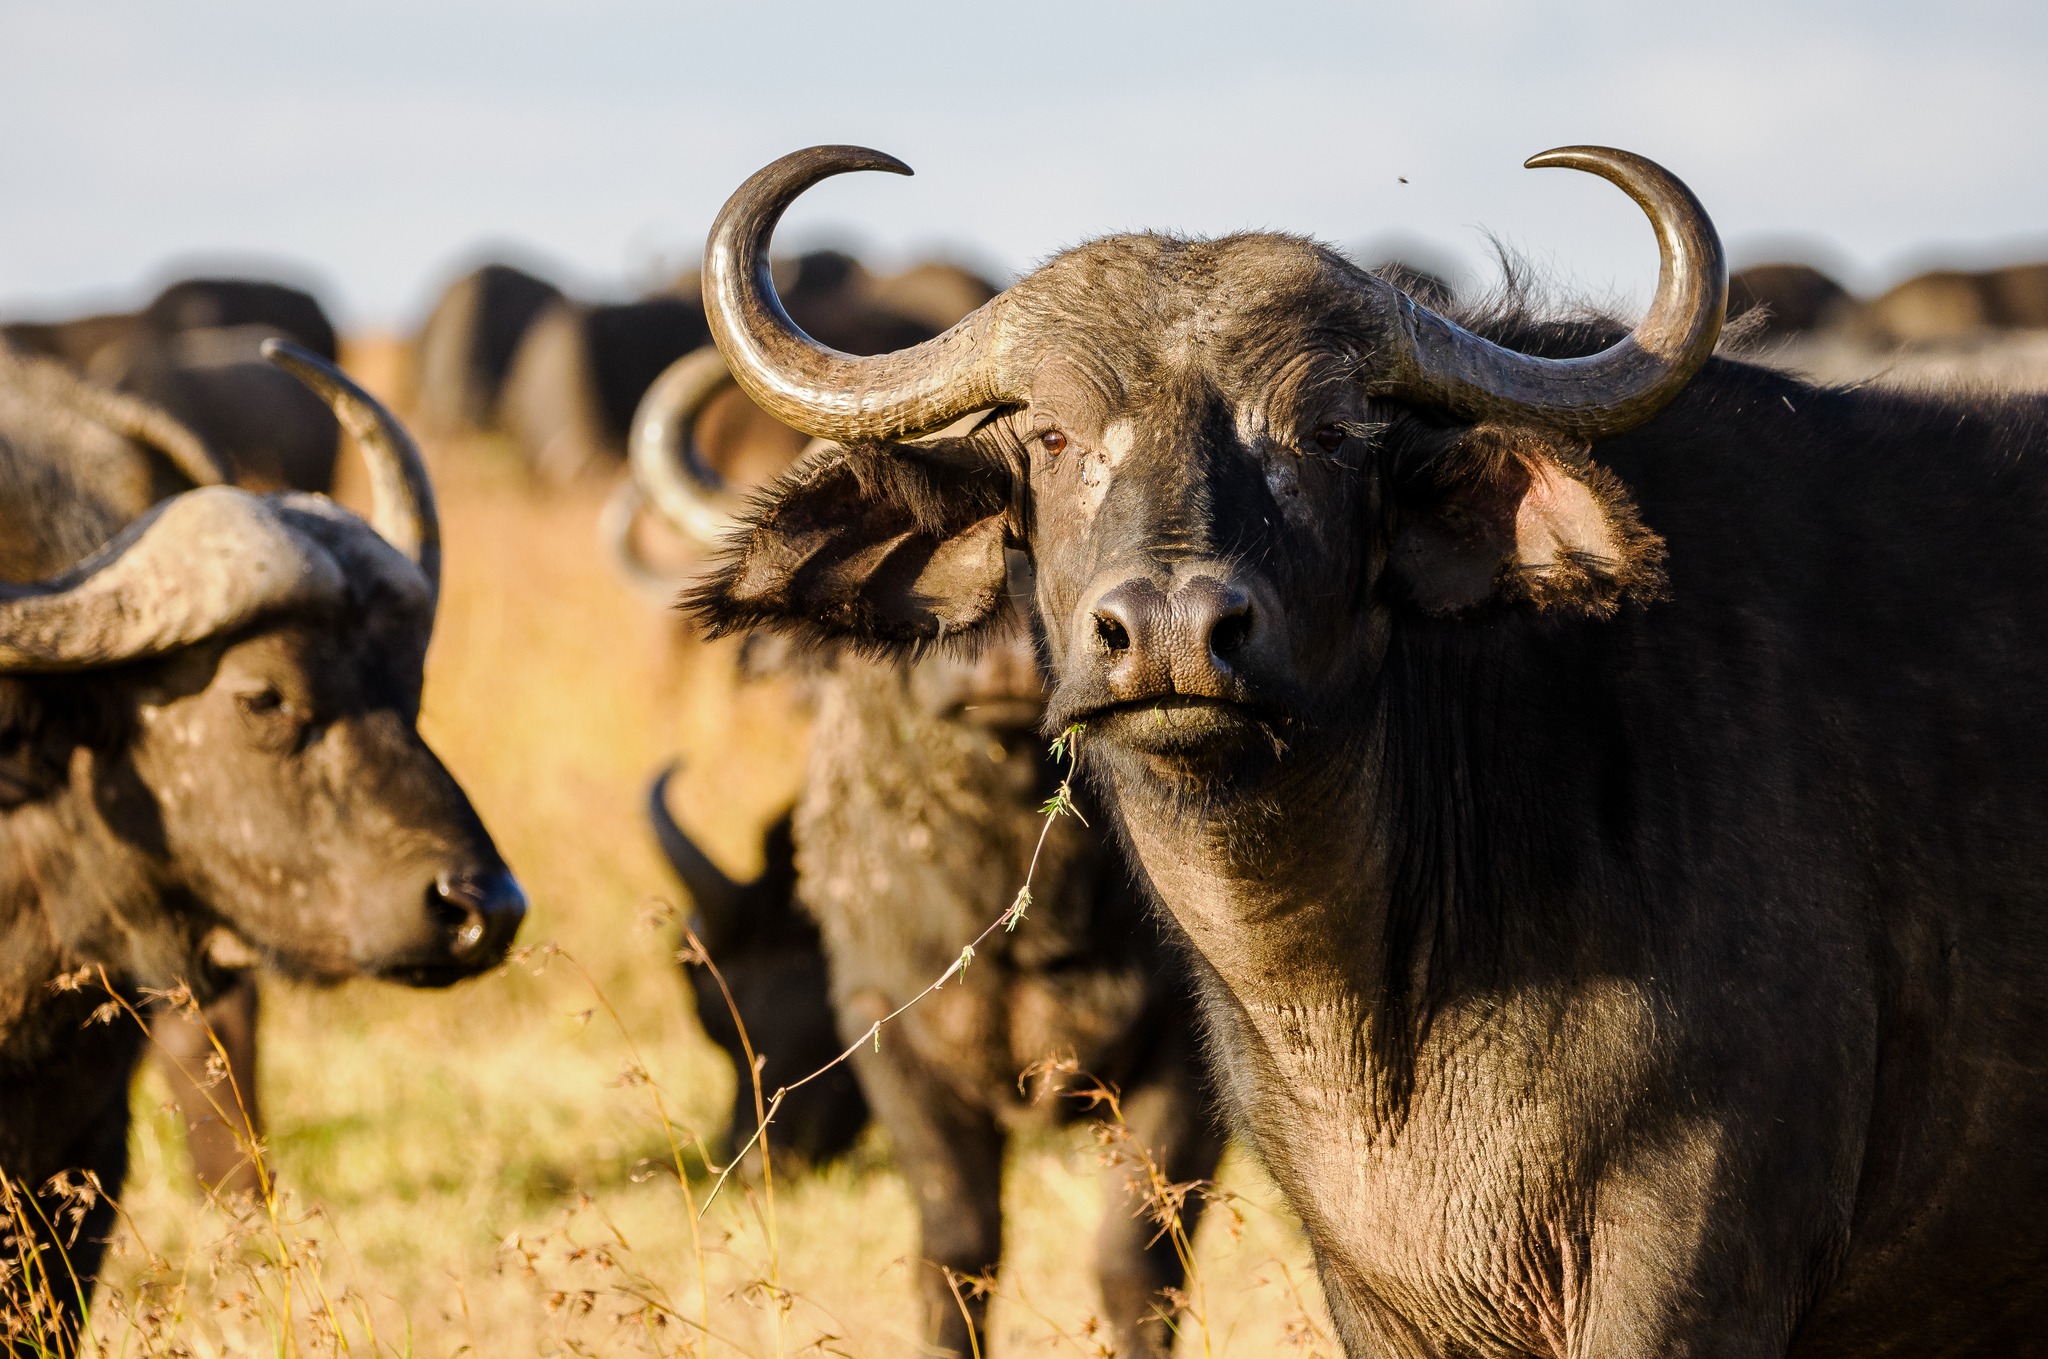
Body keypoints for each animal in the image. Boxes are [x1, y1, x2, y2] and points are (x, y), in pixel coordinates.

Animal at [686, 144, 2048, 1357]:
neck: (1373, 1002)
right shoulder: (1370, 1285)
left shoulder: (1701, 1259)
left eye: (1330, 432)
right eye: (1052, 437)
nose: (1170, 633)